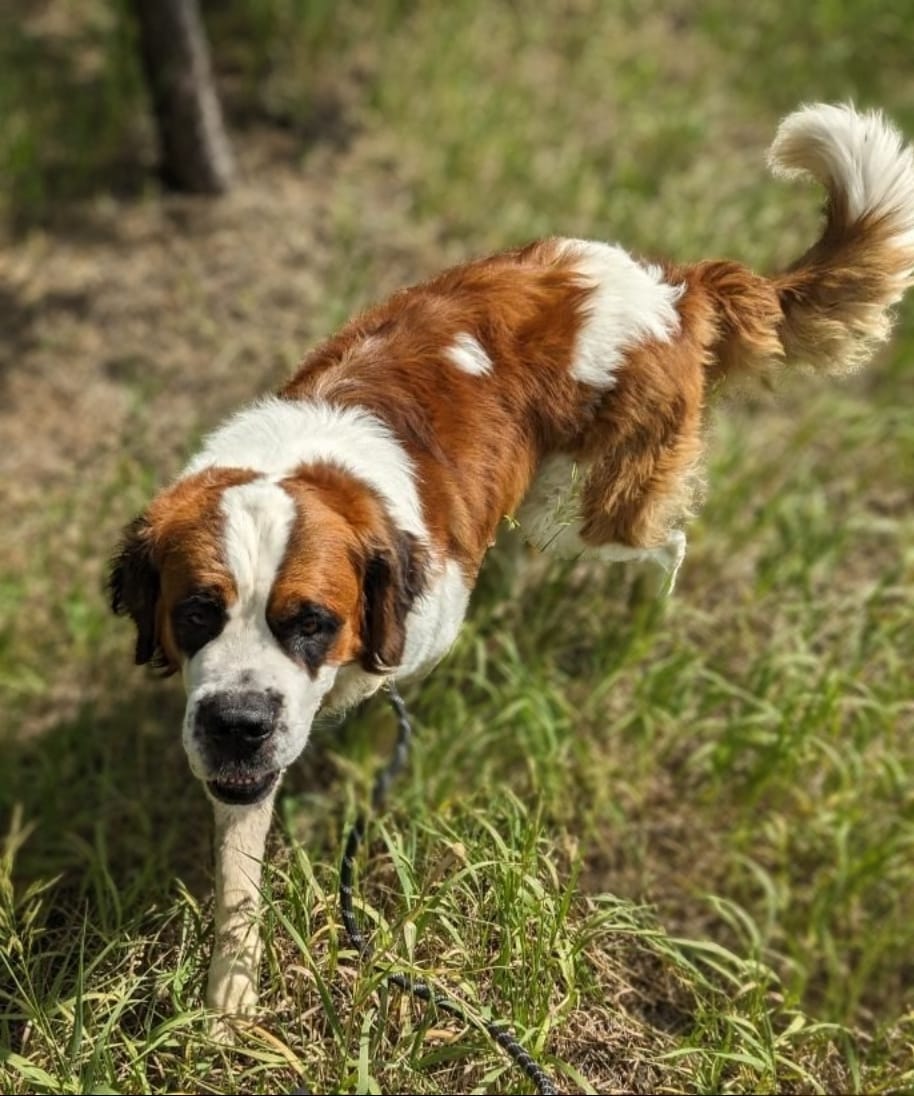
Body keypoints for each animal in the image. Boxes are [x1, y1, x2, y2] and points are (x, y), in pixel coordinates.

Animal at [108, 104, 911, 1025]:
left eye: (311, 622)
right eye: (195, 614)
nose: (237, 723)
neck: (310, 469)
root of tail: (673, 285)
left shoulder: (401, 636)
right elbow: (241, 846)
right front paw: (229, 996)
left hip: (596, 512)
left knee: (664, 543)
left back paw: (641, 626)